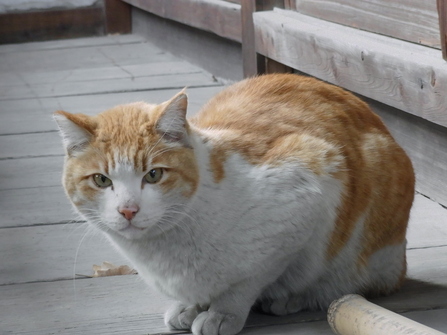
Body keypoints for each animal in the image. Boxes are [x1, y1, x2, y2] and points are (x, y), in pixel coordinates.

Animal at [55, 75, 416, 335]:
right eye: (102, 180)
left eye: (154, 175)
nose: (128, 210)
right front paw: (189, 306)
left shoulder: (308, 188)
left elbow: (247, 281)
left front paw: (222, 313)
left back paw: (292, 297)